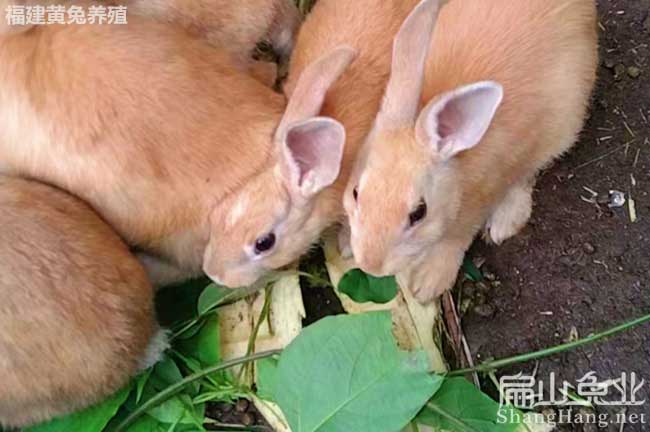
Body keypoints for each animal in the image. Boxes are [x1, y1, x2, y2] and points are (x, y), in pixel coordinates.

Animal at [344, 0, 596, 302]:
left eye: (419, 213)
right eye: (355, 192)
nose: (371, 265)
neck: (457, 175)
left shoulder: (478, 203)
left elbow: (456, 239)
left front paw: (428, 282)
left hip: (563, 124)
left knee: (530, 171)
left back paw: (504, 222)